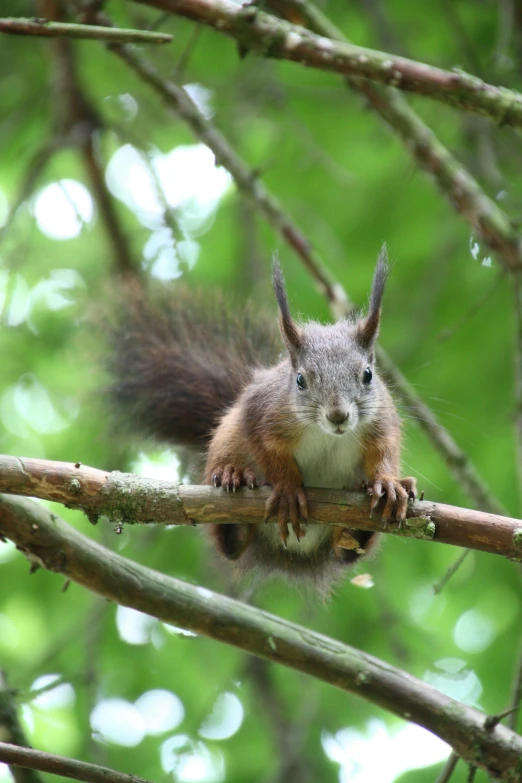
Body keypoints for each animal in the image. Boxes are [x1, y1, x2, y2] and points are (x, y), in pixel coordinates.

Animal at [107, 248, 416, 592]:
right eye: (300, 380)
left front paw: (387, 482)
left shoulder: (381, 422)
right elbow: (268, 452)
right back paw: (234, 481)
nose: (338, 416)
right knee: (230, 542)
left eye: (368, 375)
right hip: (227, 440)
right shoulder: (262, 414)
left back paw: (363, 521)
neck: (325, 434)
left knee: (345, 548)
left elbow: (384, 451)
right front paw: (287, 489)